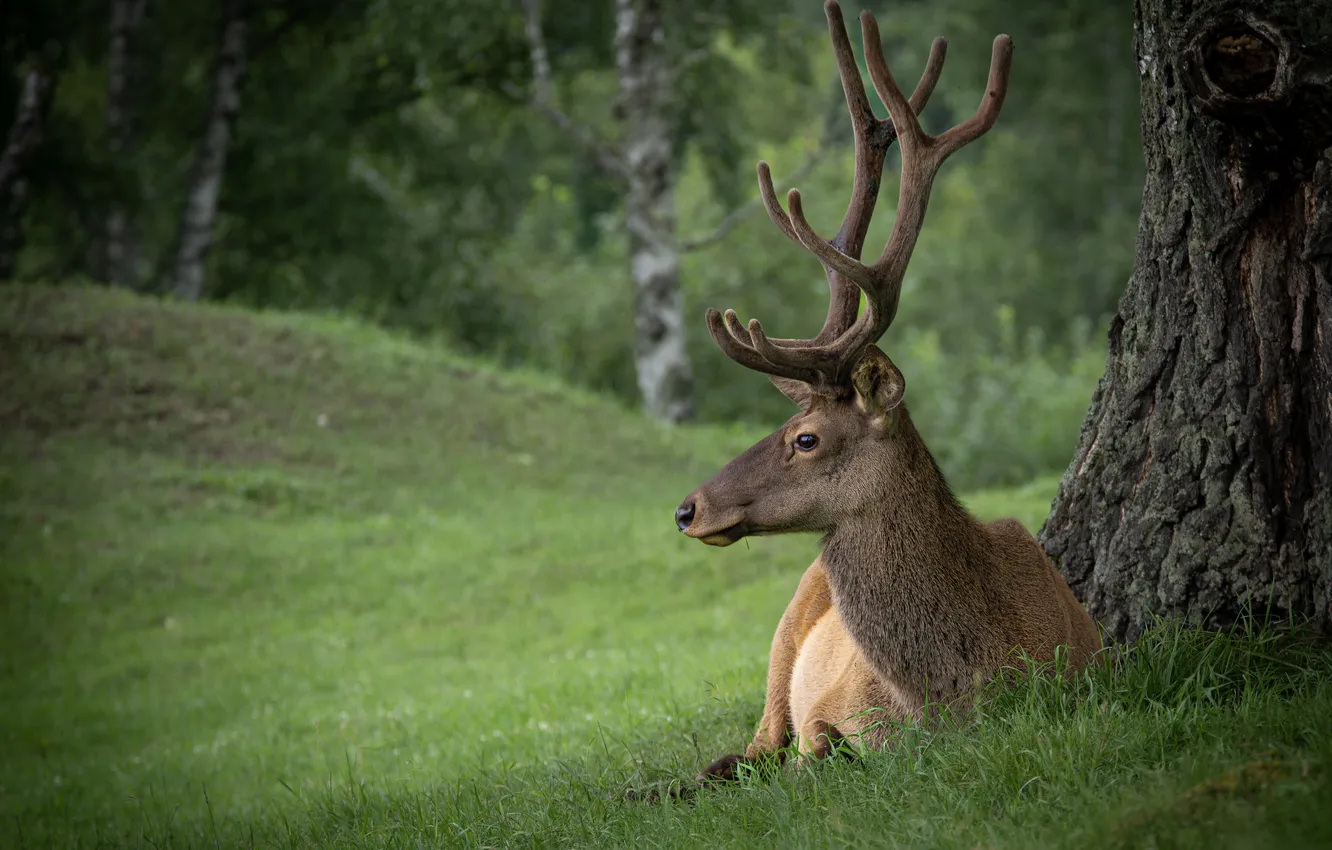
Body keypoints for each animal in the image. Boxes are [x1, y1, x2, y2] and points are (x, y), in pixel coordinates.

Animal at [673, 1, 1102, 782]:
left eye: (805, 438)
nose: (689, 509)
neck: (951, 691)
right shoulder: (826, 708)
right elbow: (815, 746)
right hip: (783, 638)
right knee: (750, 747)